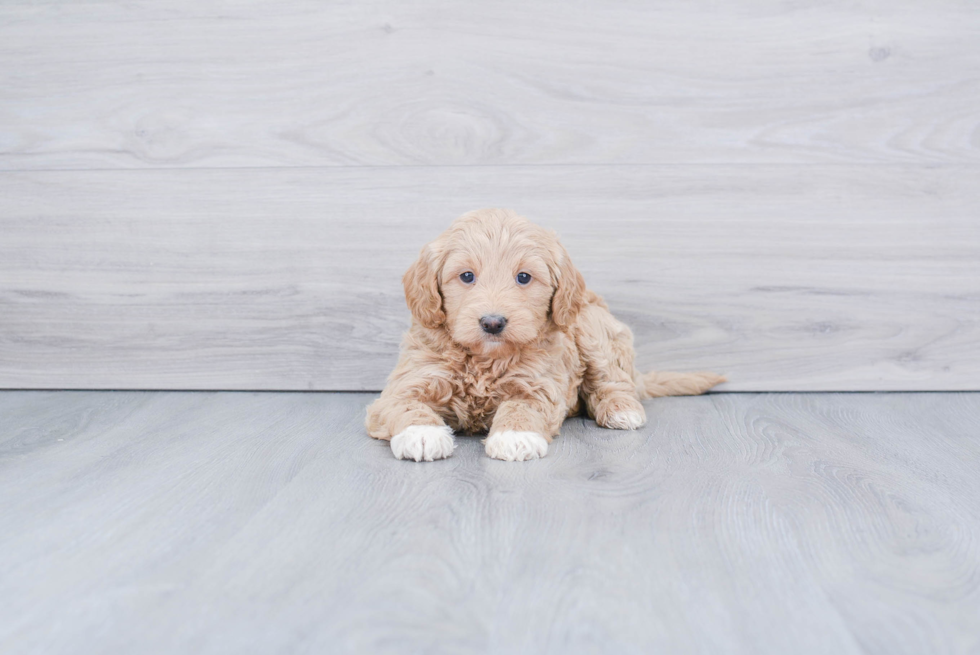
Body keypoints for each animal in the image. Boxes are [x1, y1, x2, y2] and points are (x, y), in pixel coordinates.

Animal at [364, 210, 724, 462]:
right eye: (466, 276)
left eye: (524, 277)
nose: (492, 323)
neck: (484, 359)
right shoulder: (409, 381)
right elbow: (406, 405)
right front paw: (422, 435)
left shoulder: (537, 385)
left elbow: (522, 407)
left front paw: (514, 437)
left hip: (592, 327)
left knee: (612, 381)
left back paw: (621, 409)